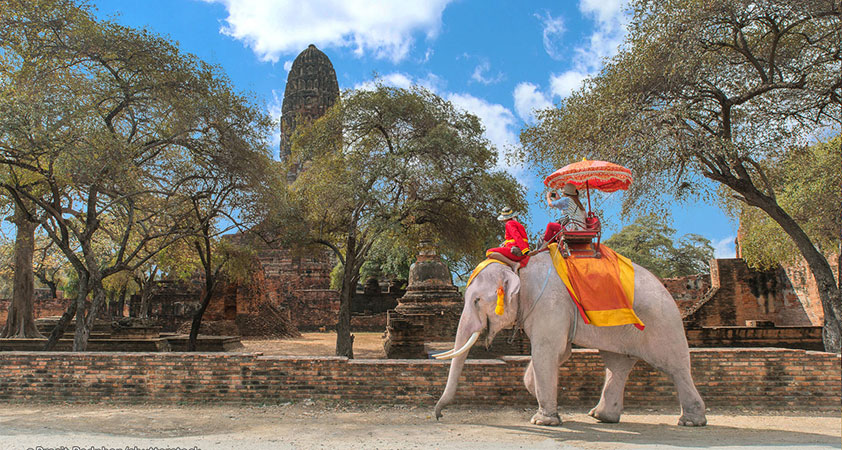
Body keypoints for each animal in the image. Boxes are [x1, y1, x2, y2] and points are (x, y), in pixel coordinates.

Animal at [434, 250, 707, 427]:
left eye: (476, 300)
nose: (438, 416)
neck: (517, 266)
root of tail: (667, 290)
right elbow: (558, 353)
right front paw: (547, 402)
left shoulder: (549, 304)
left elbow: (546, 351)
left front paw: (543, 421)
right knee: (617, 364)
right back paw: (601, 417)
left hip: (662, 324)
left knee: (675, 367)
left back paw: (691, 422)